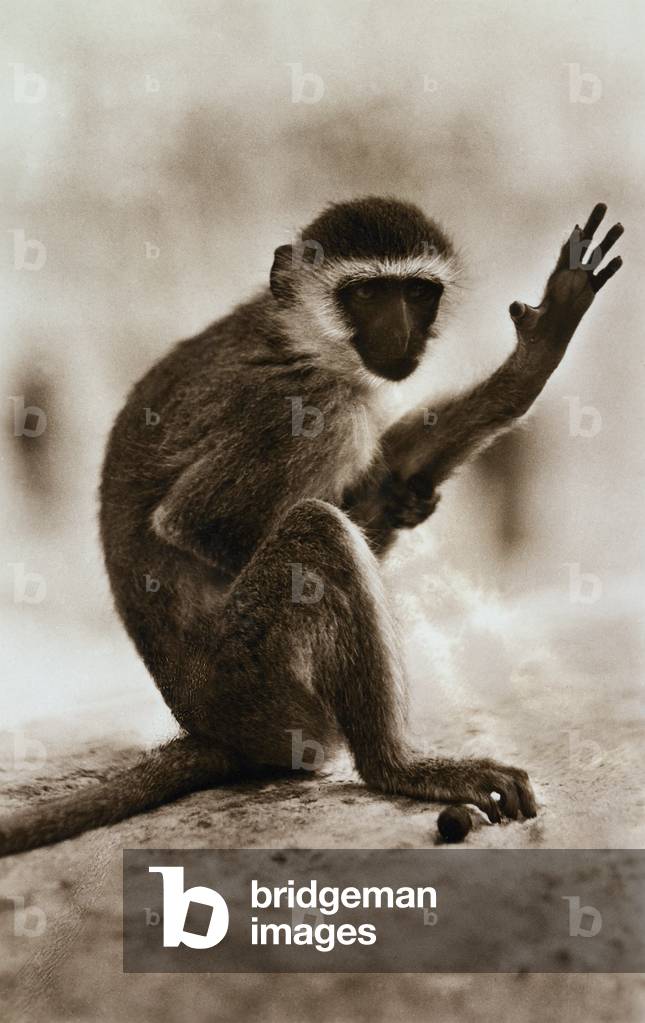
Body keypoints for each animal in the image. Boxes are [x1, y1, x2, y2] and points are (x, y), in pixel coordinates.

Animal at [0, 197, 623, 855]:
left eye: (417, 293)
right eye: (368, 293)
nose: (401, 333)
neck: (301, 338)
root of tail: (211, 729)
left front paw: (528, 366)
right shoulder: (310, 407)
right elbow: (193, 524)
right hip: (259, 689)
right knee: (318, 531)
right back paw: (395, 767)